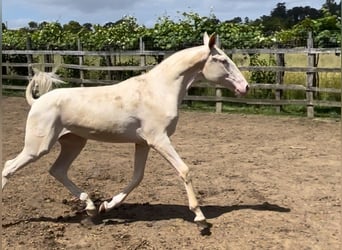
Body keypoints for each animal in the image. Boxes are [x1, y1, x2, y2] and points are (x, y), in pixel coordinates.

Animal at [2, 32, 248, 229]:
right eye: (223, 60)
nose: (245, 87)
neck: (159, 90)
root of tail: (36, 102)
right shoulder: (159, 140)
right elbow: (184, 170)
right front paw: (200, 218)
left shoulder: (143, 143)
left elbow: (137, 177)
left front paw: (106, 206)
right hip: (38, 147)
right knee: (8, 168)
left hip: (74, 142)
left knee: (57, 170)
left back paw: (91, 208)